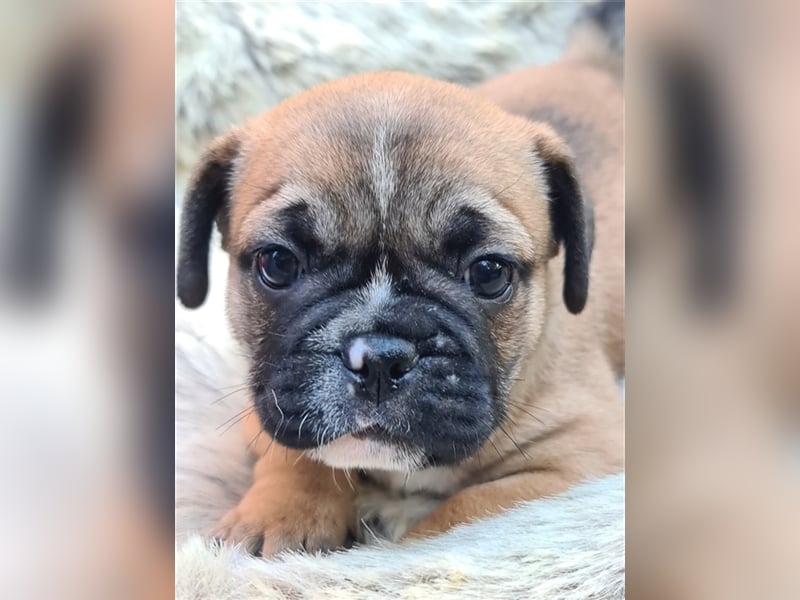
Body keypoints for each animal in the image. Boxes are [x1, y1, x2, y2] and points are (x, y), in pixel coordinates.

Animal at [177, 12, 624, 556]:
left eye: (489, 272)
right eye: (278, 263)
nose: (378, 358)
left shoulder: (579, 458)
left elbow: (458, 516)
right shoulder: (266, 402)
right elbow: (296, 454)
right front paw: (275, 519)